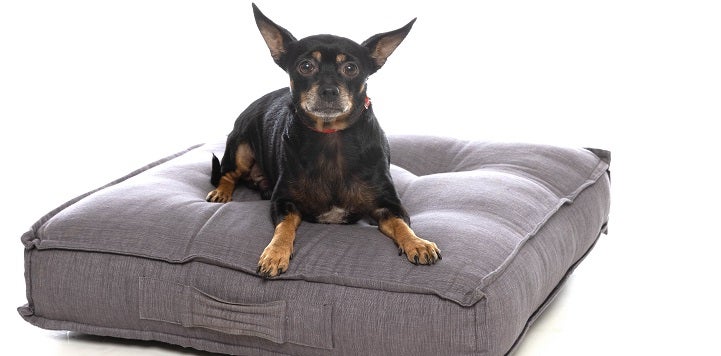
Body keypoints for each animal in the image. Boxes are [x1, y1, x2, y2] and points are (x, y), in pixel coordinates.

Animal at [204, 4, 438, 280]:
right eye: (305, 66)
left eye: (351, 68)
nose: (329, 91)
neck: (330, 136)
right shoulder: (284, 203)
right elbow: (284, 228)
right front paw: (275, 253)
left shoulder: (388, 206)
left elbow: (402, 225)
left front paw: (417, 243)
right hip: (240, 148)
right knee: (228, 174)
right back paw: (221, 191)